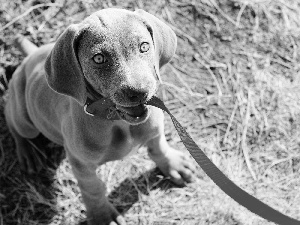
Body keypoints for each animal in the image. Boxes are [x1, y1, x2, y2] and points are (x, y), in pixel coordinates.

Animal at [6, 7, 197, 225]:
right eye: (99, 58)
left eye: (144, 46)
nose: (138, 92)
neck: (118, 122)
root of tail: (31, 56)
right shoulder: (81, 165)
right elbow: (93, 189)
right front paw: (103, 215)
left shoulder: (155, 128)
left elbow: (159, 146)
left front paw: (173, 164)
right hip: (24, 120)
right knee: (13, 123)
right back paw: (28, 152)